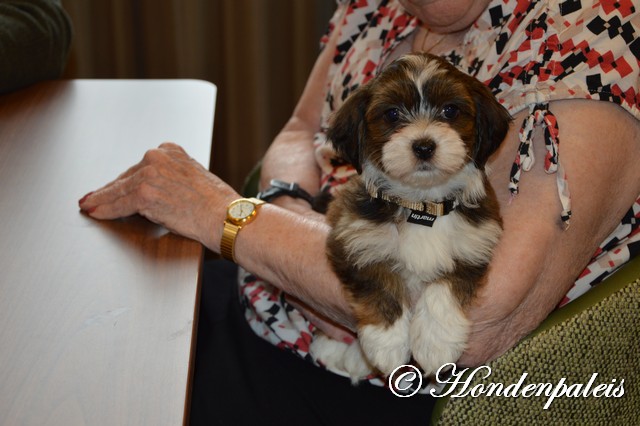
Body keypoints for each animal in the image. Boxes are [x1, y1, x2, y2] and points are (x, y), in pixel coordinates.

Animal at [308, 51, 512, 382]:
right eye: (392, 114)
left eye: (450, 110)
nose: (424, 146)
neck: (421, 204)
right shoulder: (354, 237)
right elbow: (378, 283)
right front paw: (388, 344)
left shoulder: (476, 243)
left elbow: (446, 287)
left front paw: (435, 343)